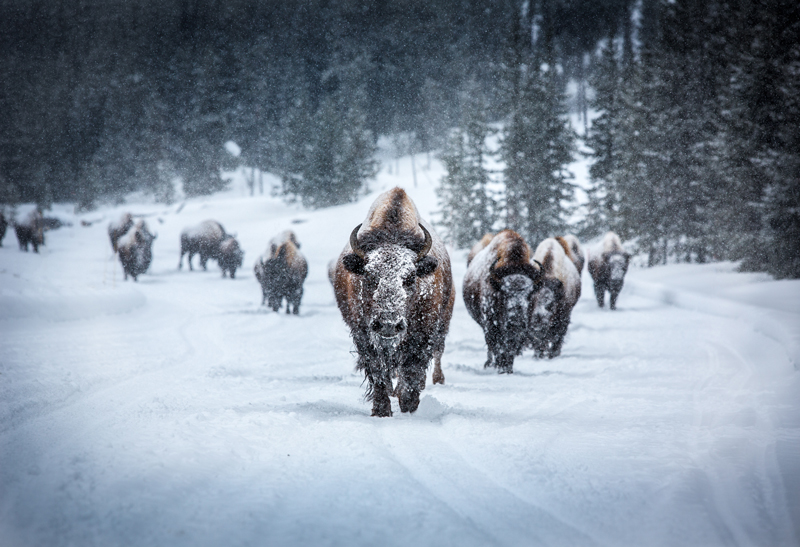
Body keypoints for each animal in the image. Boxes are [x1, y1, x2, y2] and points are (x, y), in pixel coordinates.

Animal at [332, 186, 456, 418]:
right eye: (370, 276)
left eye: (410, 277)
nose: (388, 324)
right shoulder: (364, 334)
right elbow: (378, 371)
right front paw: (381, 410)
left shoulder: (423, 334)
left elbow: (412, 369)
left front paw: (408, 404)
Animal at [462, 229, 544, 374]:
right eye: (504, 293)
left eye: (530, 294)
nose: (516, 320)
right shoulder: (491, 325)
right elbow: (498, 347)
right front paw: (500, 368)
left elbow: (511, 347)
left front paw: (507, 369)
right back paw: (489, 364)